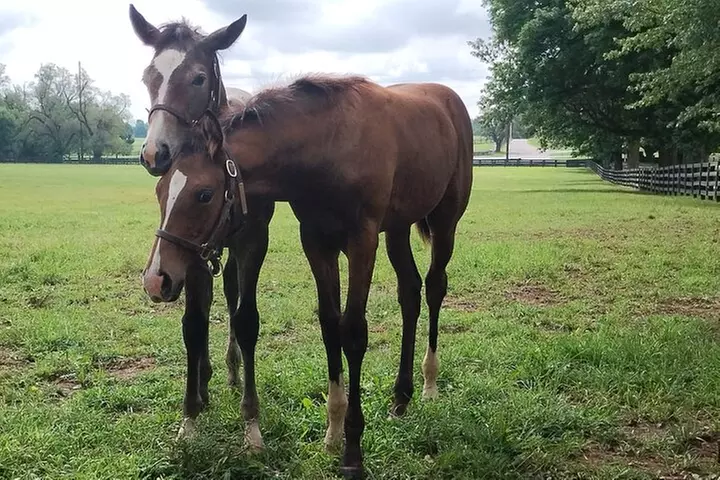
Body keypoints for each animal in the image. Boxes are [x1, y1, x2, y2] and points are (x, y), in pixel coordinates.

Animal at [130, 5, 276, 444]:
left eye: (198, 77)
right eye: (149, 77)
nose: (154, 153)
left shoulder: (253, 241)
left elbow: (246, 319)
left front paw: (251, 423)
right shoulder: (189, 249)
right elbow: (193, 324)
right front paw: (190, 415)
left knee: (229, 292)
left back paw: (230, 369)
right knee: (210, 298)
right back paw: (207, 378)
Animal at [141, 74, 474, 478]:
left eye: (204, 194)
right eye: (160, 191)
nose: (156, 280)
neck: (331, 145)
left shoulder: (361, 242)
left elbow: (353, 333)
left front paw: (353, 452)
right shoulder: (316, 241)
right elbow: (330, 325)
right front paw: (332, 434)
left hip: (445, 221)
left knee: (435, 287)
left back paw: (429, 385)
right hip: (397, 228)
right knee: (409, 292)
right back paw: (400, 398)